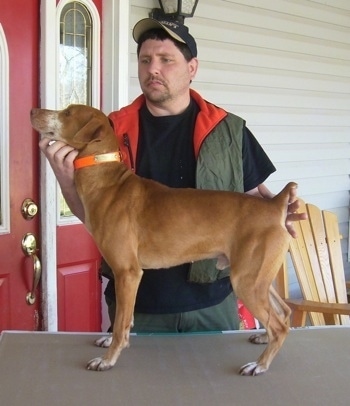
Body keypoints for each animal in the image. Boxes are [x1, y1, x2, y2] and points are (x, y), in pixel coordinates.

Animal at [30, 104, 294, 374]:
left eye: (68, 113)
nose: (33, 111)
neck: (108, 181)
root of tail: (275, 205)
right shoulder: (129, 277)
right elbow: (126, 320)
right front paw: (114, 342)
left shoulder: (127, 272)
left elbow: (119, 324)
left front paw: (108, 359)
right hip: (259, 279)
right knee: (284, 311)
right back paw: (263, 337)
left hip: (246, 281)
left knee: (279, 326)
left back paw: (259, 364)